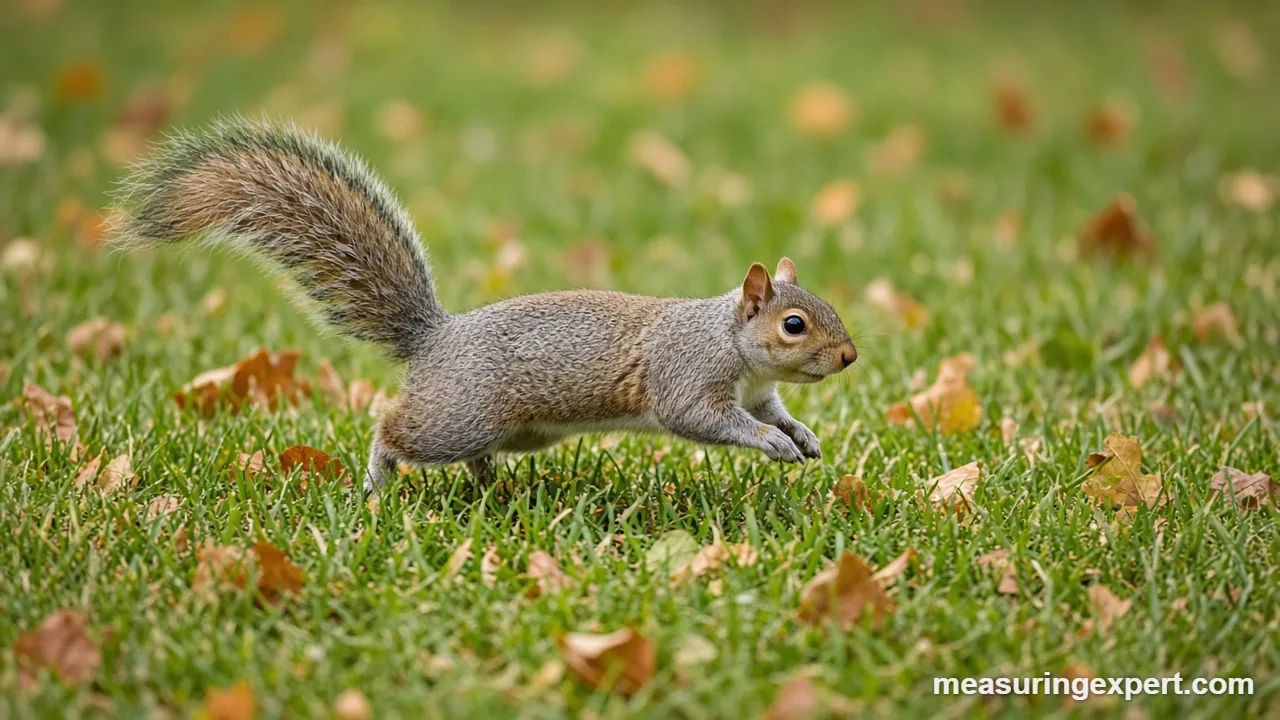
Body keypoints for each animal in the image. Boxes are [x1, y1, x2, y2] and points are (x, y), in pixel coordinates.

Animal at [108, 118, 858, 493]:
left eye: (823, 306)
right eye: (794, 325)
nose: (850, 356)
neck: (731, 342)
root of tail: (432, 339)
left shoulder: (760, 390)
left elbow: (777, 412)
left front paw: (802, 436)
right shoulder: (687, 378)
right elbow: (708, 420)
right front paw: (769, 444)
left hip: (514, 430)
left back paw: (491, 485)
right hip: (458, 415)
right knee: (392, 430)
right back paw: (378, 482)